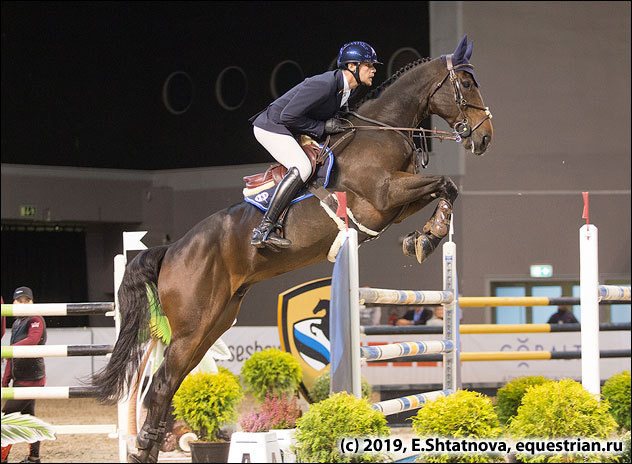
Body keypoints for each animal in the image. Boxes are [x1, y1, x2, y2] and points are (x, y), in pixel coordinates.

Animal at [92, 35, 493, 462]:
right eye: (467, 84)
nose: (485, 138)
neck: (383, 131)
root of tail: (171, 251)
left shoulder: (396, 206)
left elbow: (445, 188)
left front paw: (425, 237)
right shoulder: (385, 195)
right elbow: (446, 182)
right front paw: (431, 236)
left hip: (212, 324)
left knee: (170, 382)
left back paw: (147, 448)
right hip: (191, 327)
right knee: (162, 384)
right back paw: (142, 450)